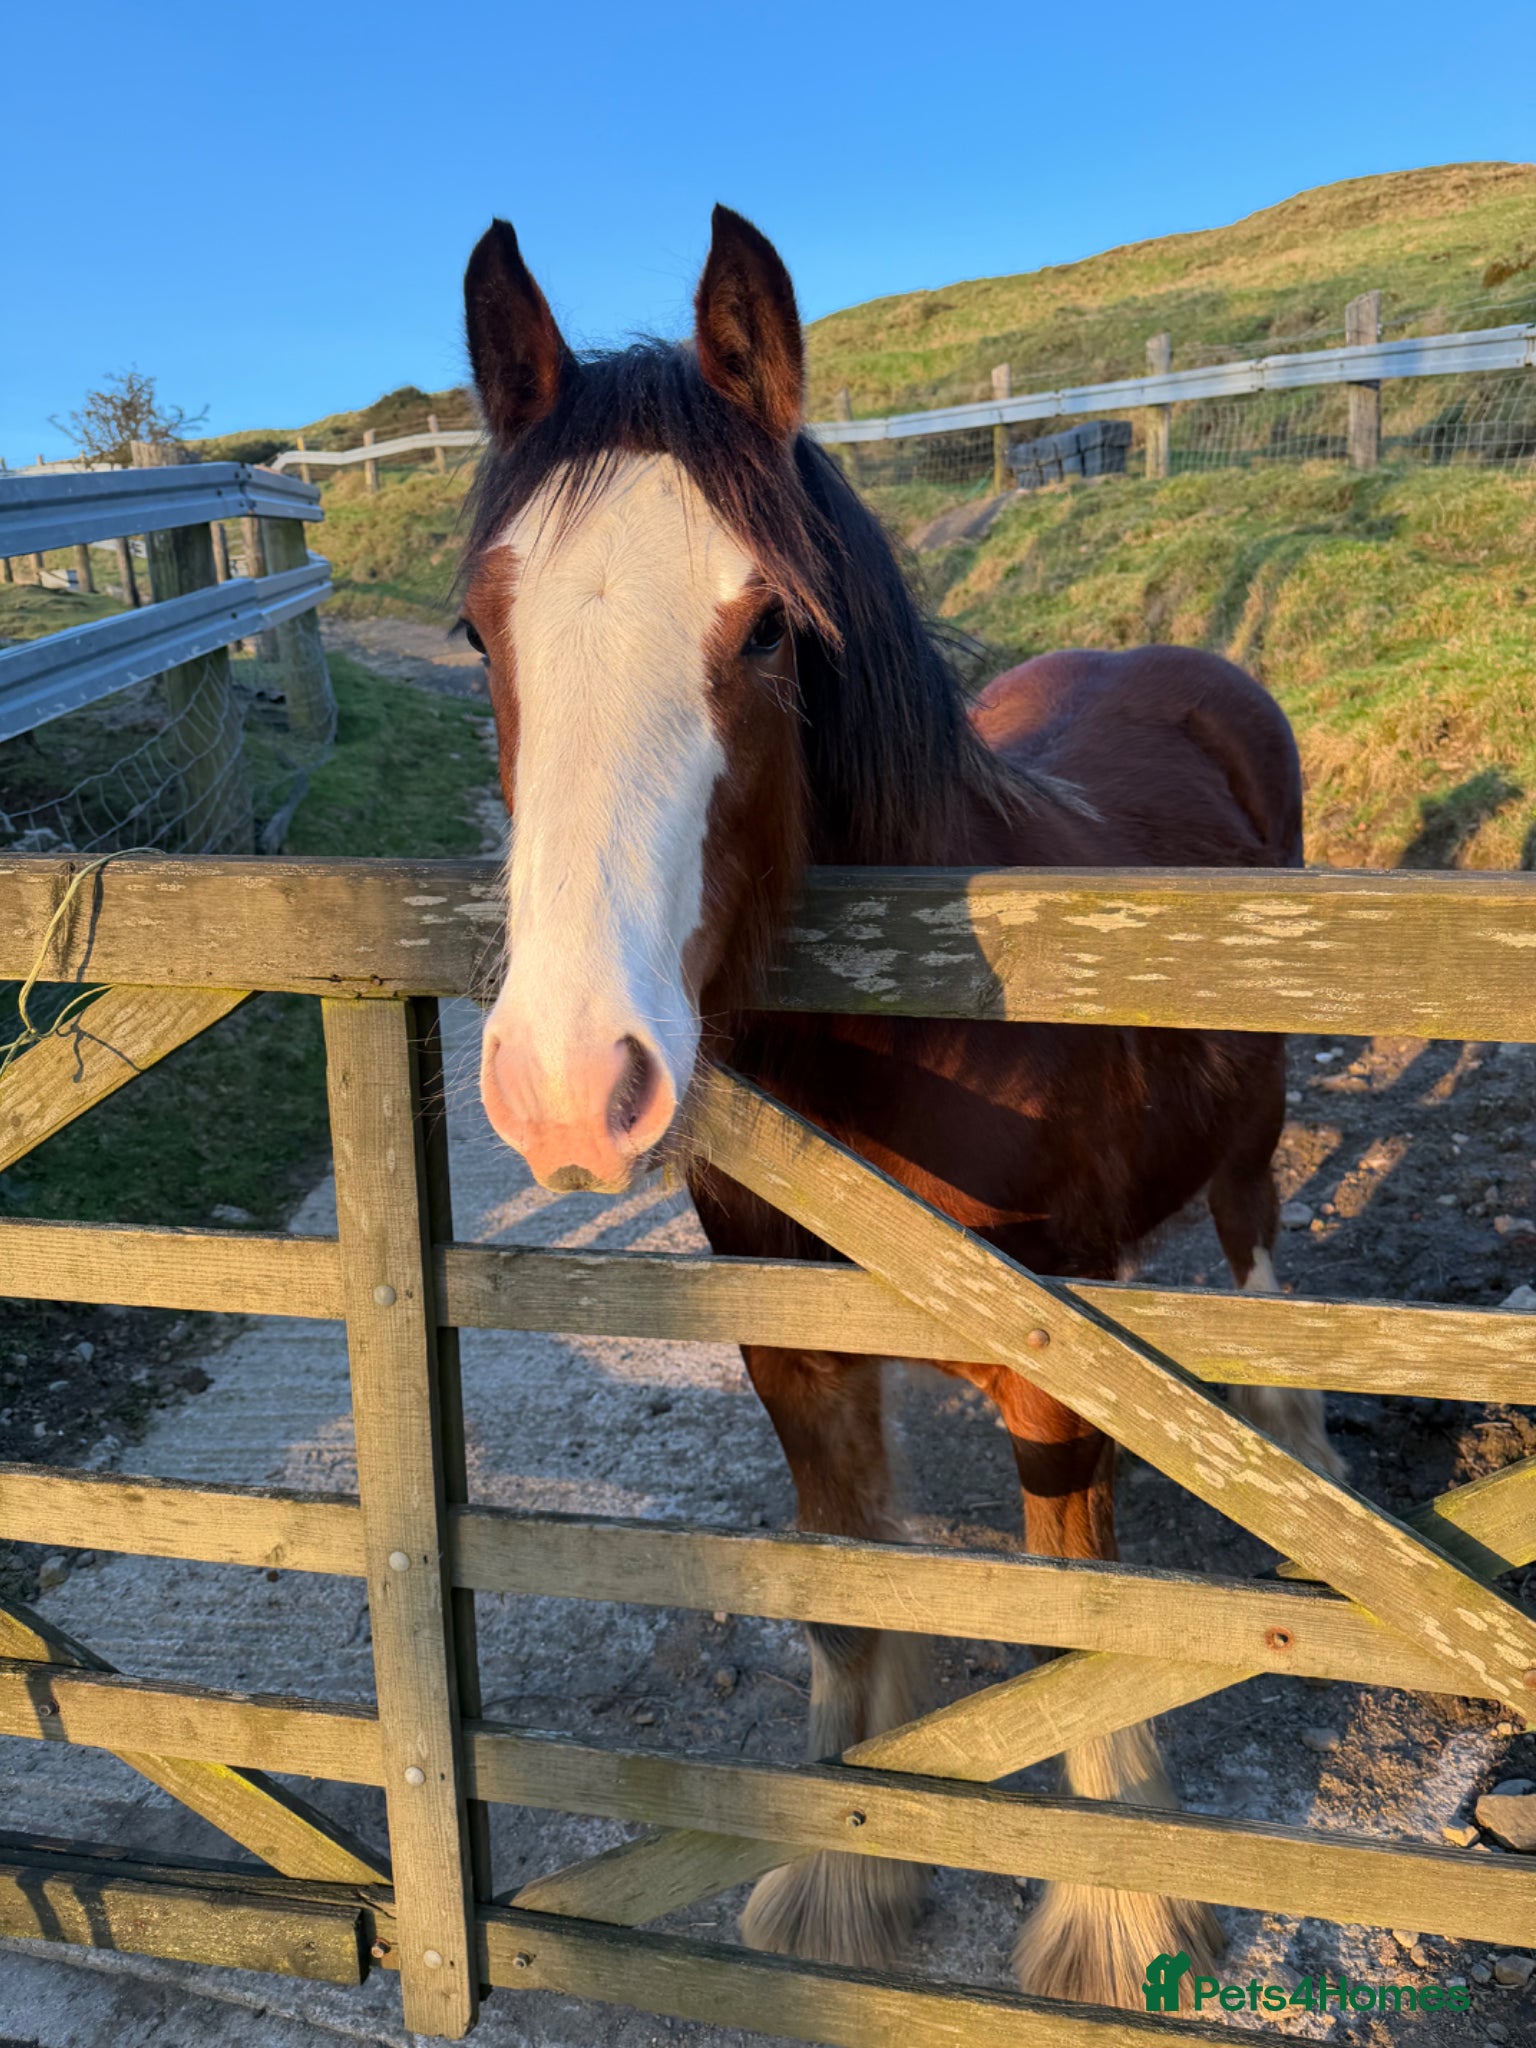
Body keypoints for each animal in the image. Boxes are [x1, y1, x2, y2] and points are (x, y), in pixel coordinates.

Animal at [459, 204, 1340, 2010]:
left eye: (764, 628)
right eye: (477, 632)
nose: (571, 1084)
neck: (906, 1041)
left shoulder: (1055, 1369)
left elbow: (1078, 1625)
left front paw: (1117, 1917)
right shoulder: (794, 1353)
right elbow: (846, 1596)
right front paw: (843, 1883)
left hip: (1255, 1115)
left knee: (1253, 1235)